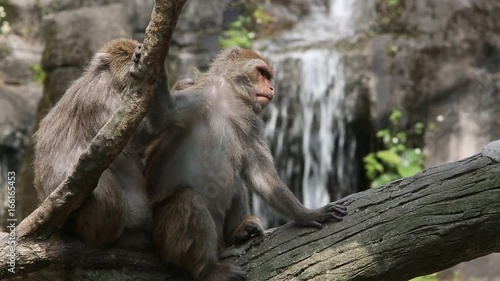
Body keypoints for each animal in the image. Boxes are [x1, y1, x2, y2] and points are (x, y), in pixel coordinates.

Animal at [145, 47, 348, 278]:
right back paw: (208, 269)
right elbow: (165, 112)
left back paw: (237, 233)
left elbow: (261, 175)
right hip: (165, 238)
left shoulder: (250, 123)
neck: (231, 99)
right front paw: (156, 66)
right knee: (188, 199)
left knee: (235, 183)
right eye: (261, 72)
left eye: (269, 76)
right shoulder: (204, 91)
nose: (272, 87)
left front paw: (307, 214)